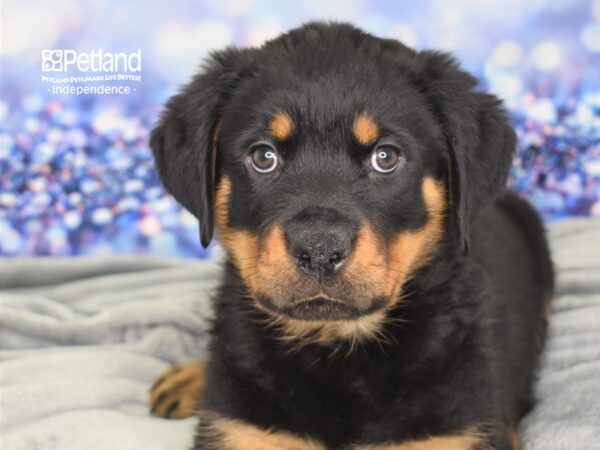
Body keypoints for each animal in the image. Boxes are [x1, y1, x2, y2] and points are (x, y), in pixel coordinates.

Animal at [146, 22, 552, 450]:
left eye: (385, 157)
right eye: (263, 156)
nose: (319, 249)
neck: (337, 348)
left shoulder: (455, 433)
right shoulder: (241, 430)